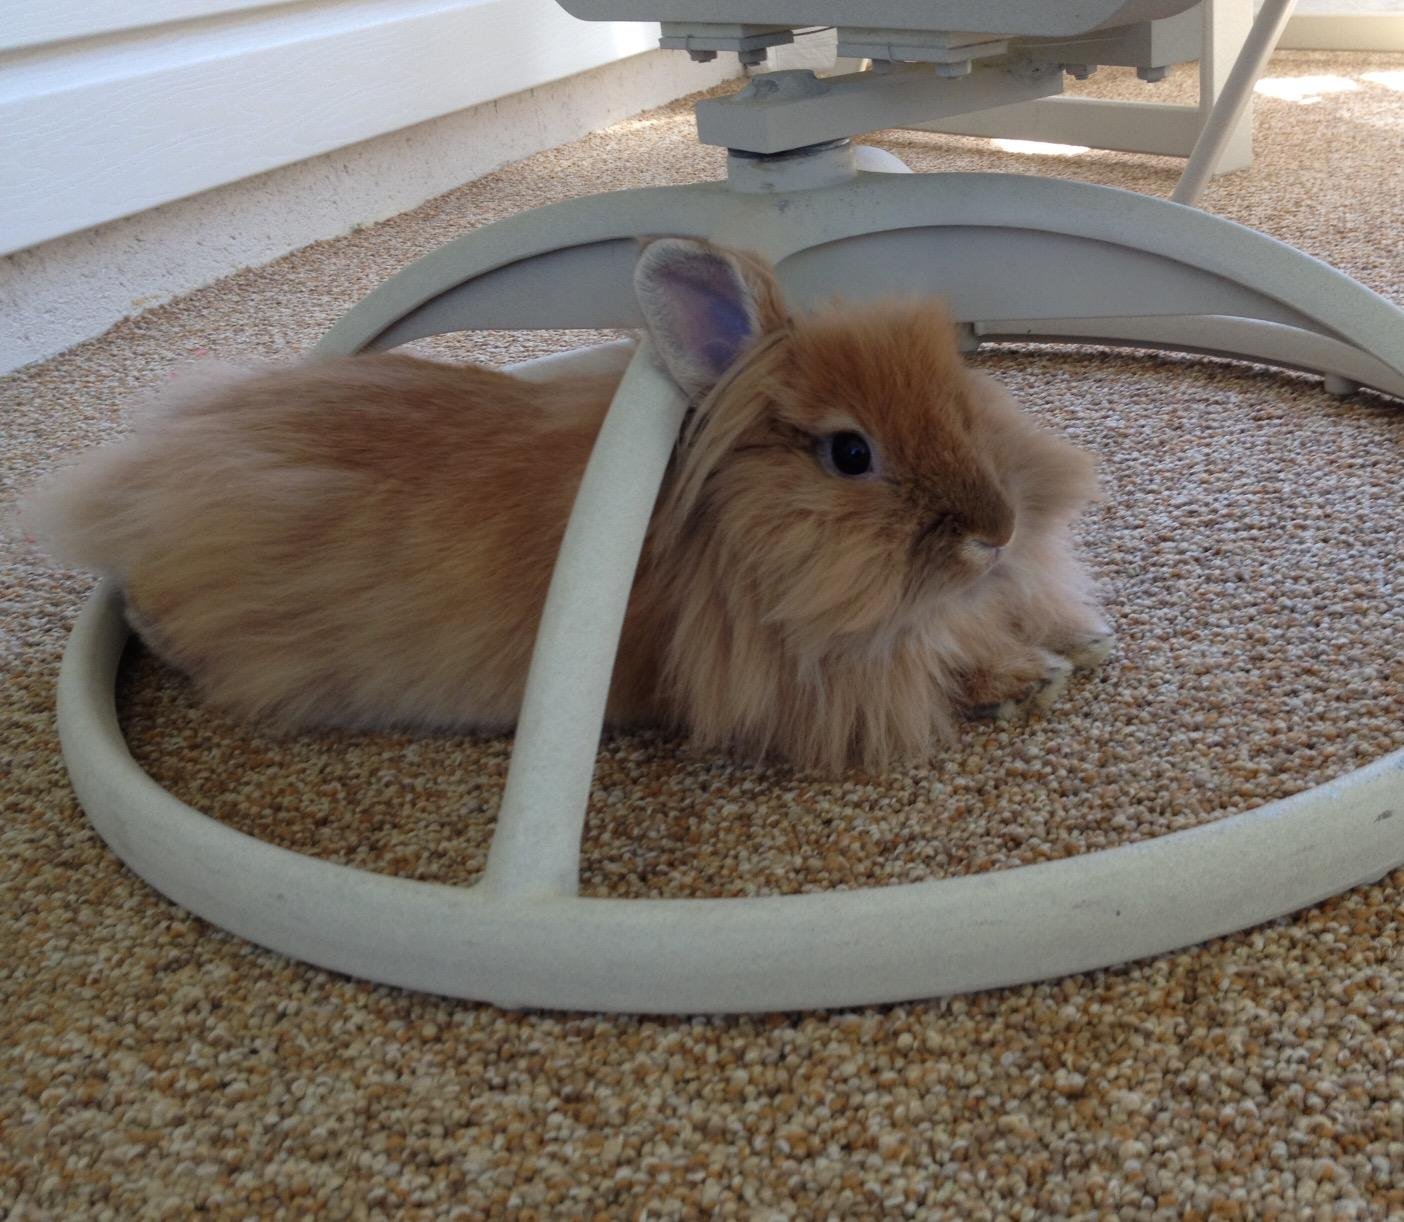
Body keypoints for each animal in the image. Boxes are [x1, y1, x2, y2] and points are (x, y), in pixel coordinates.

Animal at [22, 237, 1112, 774]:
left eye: (966, 399)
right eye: (851, 453)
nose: (998, 532)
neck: (733, 528)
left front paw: (1078, 645)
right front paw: (1032, 677)